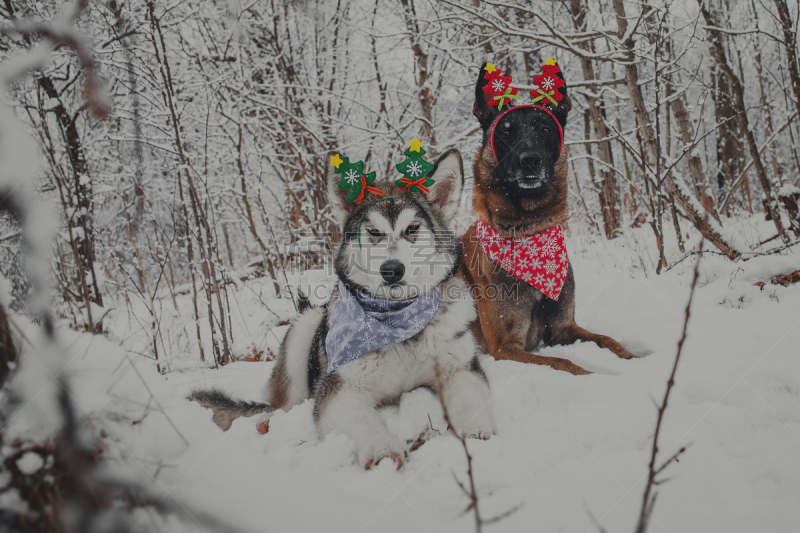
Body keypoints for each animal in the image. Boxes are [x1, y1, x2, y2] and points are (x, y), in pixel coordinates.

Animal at [194, 149, 494, 466]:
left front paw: (475, 434)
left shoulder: (460, 368)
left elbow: (468, 399)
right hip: (308, 325)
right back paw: (266, 420)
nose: (392, 270)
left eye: (413, 229)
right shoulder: (338, 391)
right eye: (373, 231)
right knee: (284, 404)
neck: (399, 318)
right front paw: (383, 448)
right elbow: (363, 418)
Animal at [456, 64, 636, 374]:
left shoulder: (562, 327)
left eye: (545, 129)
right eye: (506, 132)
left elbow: (607, 340)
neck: (528, 230)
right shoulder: (504, 348)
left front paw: (635, 360)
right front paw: (593, 375)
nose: (530, 160)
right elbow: (561, 361)